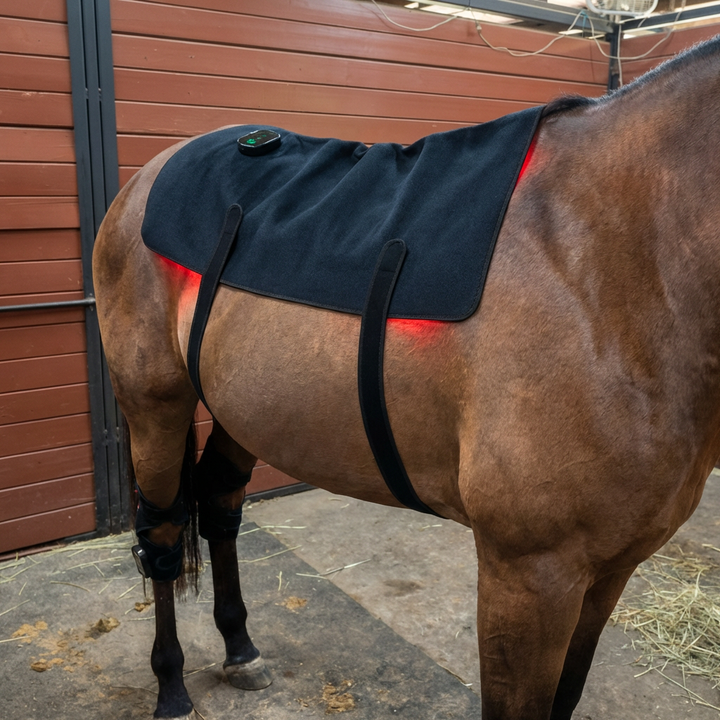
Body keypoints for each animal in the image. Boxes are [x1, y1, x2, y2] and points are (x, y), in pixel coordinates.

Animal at [93, 35, 720, 720]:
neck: (611, 262)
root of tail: (151, 173)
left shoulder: (610, 569)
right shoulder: (530, 574)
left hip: (246, 408)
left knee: (220, 500)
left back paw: (240, 649)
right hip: (155, 405)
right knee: (163, 530)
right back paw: (172, 685)